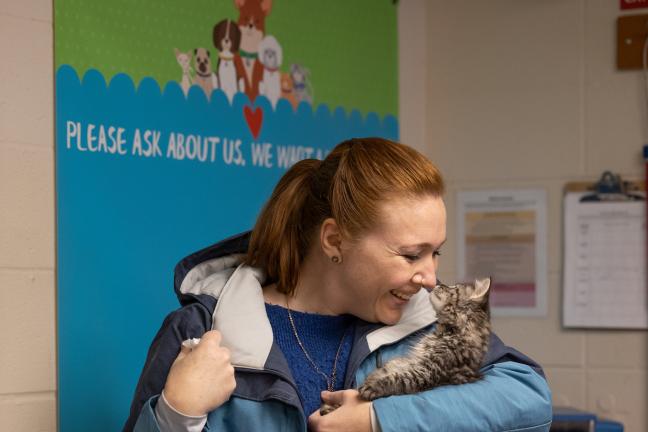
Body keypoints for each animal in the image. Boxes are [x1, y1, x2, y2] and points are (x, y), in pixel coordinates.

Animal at [354, 276, 492, 402]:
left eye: (454, 289)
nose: (438, 285)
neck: (447, 333)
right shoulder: (413, 362)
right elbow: (390, 367)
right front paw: (373, 377)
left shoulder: (426, 372)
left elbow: (397, 378)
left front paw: (372, 386)